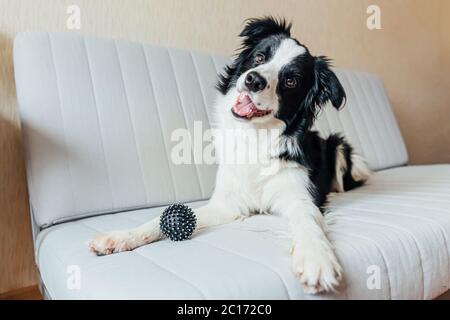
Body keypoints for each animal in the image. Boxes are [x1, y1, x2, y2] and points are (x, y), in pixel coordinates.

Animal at [89, 16, 370, 294]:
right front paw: (121, 236)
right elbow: (157, 220)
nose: (253, 80)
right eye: (259, 57)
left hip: (339, 145)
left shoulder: (298, 197)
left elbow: (308, 222)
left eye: (291, 81)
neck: (255, 137)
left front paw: (316, 259)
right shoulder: (228, 204)